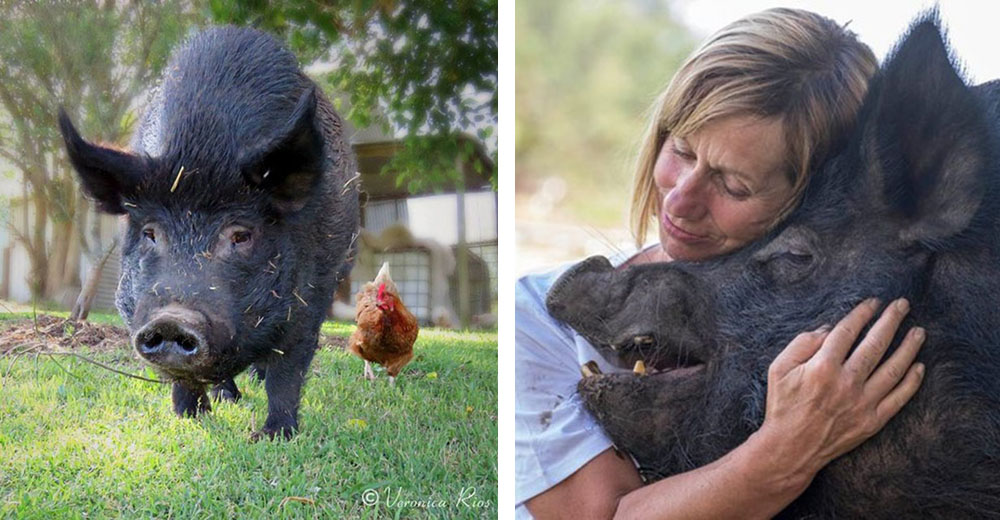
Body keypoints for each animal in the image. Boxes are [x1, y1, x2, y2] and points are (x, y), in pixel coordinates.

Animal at [56, 25, 358, 438]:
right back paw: (227, 397)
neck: (204, 148)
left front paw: (274, 435)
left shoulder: (311, 293)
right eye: (150, 232)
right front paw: (191, 418)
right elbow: (185, 381)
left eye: (241, 235)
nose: (171, 319)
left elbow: (288, 370)